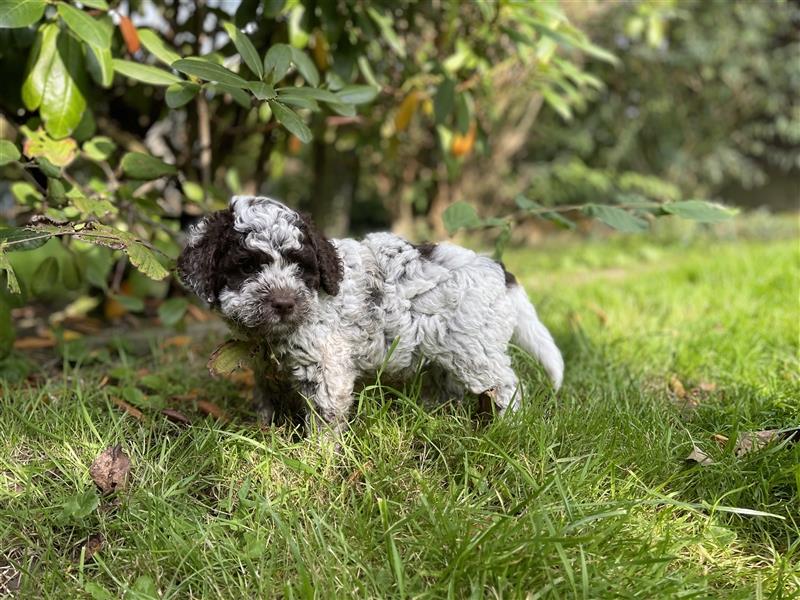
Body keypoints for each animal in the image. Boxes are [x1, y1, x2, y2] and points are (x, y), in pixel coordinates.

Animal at [177, 197, 564, 436]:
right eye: (246, 267)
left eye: (300, 267)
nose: (284, 303)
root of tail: (498, 270)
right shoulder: (264, 368)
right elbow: (266, 400)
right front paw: (266, 430)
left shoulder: (326, 365)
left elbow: (325, 415)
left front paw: (316, 458)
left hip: (475, 349)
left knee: (508, 385)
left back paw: (508, 426)